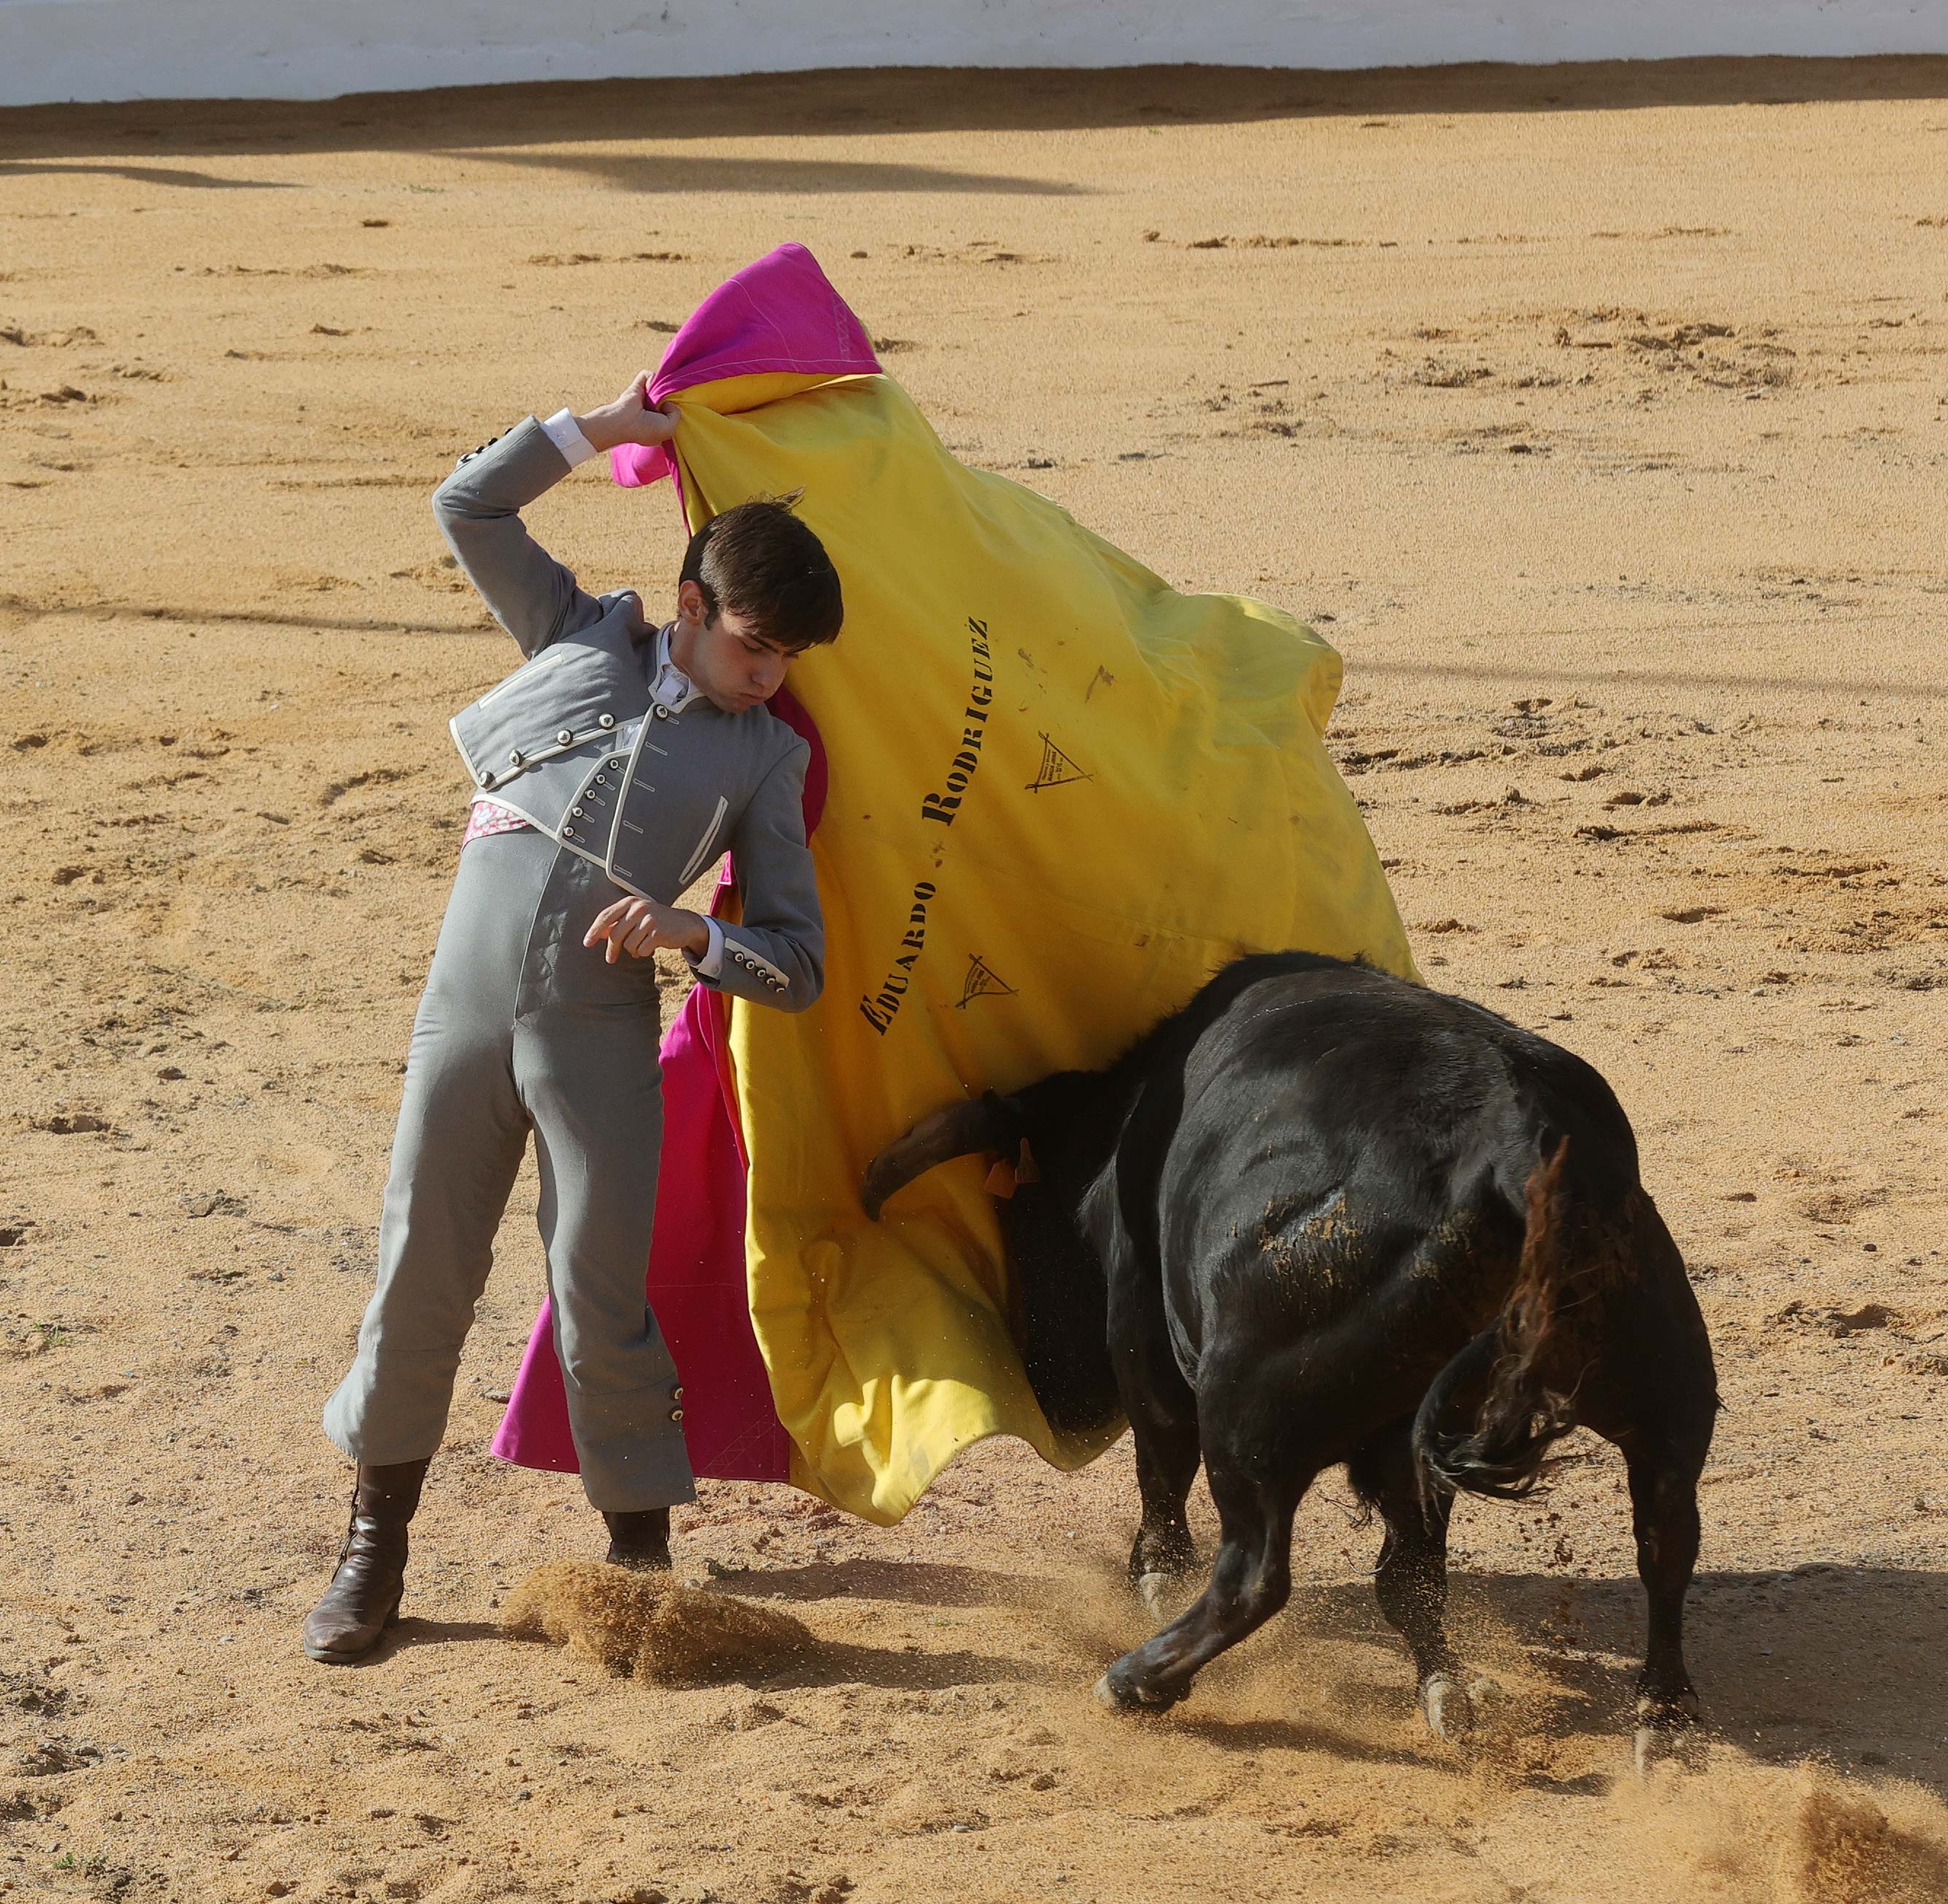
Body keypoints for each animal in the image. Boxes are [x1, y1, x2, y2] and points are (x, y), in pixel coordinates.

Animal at [868, 958, 1722, 1760]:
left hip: (1246, 1418)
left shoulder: (1141, 1331)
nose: (1052, 1395)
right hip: (1667, 1387)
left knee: (1253, 1574)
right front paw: (1444, 1686)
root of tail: (1513, 1157)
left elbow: (1161, 1463)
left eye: (1021, 1209)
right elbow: (1413, 1571)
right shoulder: (1403, 1442)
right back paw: (1658, 1722)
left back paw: (1135, 1680)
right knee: (1664, 1536)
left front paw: (1153, 1574)